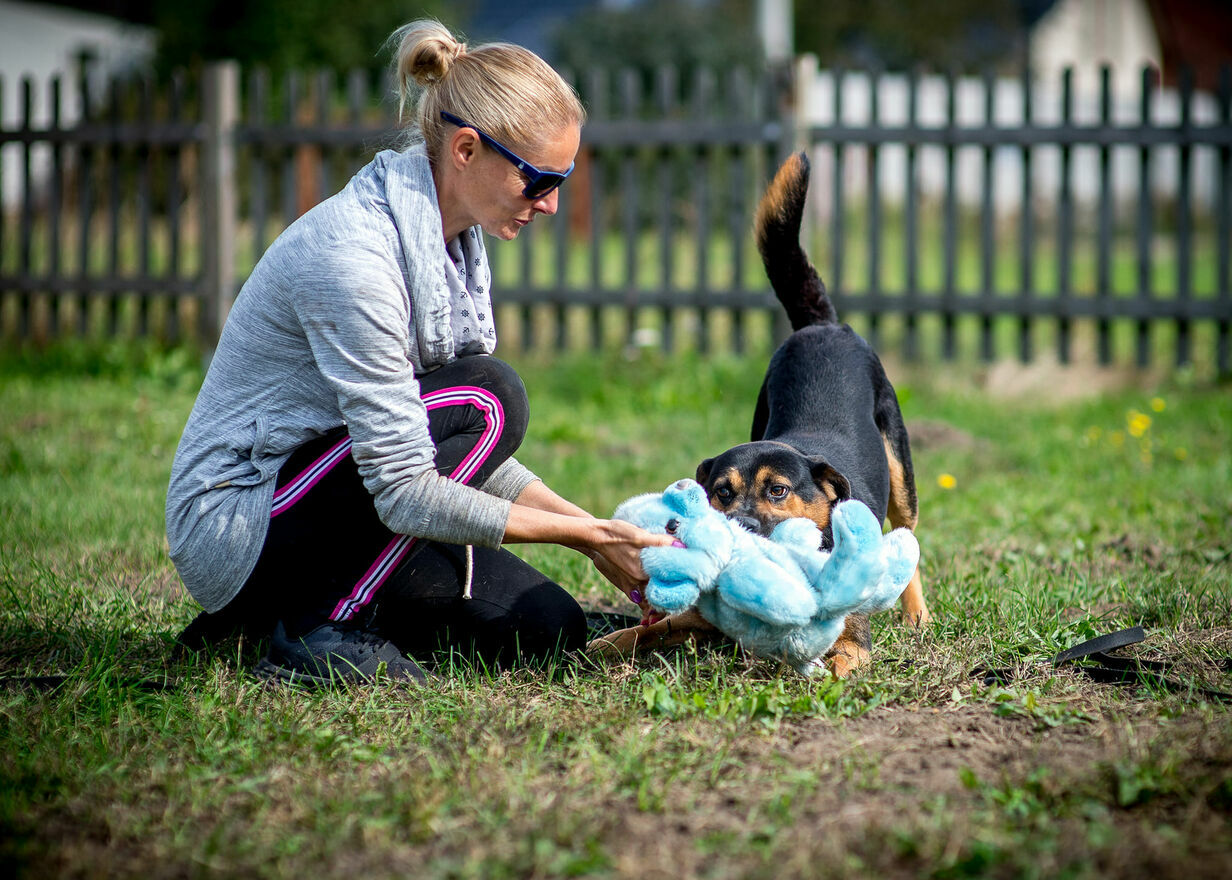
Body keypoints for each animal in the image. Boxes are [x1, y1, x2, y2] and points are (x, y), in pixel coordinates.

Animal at [589, 152, 929, 677]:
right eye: (722, 493)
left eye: (778, 491)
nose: (744, 528)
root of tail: (822, 325)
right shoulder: (697, 619)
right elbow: (652, 629)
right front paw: (607, 642)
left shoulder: (853, 642)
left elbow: (841, 658)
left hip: (900, 471)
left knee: (908, 538)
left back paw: (917, 616)